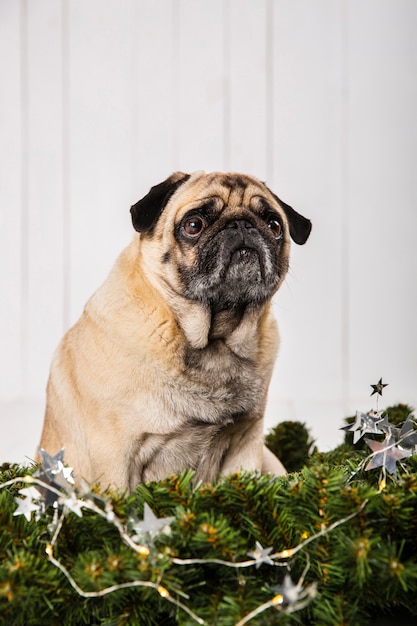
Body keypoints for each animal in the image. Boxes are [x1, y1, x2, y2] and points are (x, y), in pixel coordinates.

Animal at [37, 169, 310, 488]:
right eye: (194, 225)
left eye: (274, 224)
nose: (241, 224)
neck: (214, 338)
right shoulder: (115, 456)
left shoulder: (245, 446)